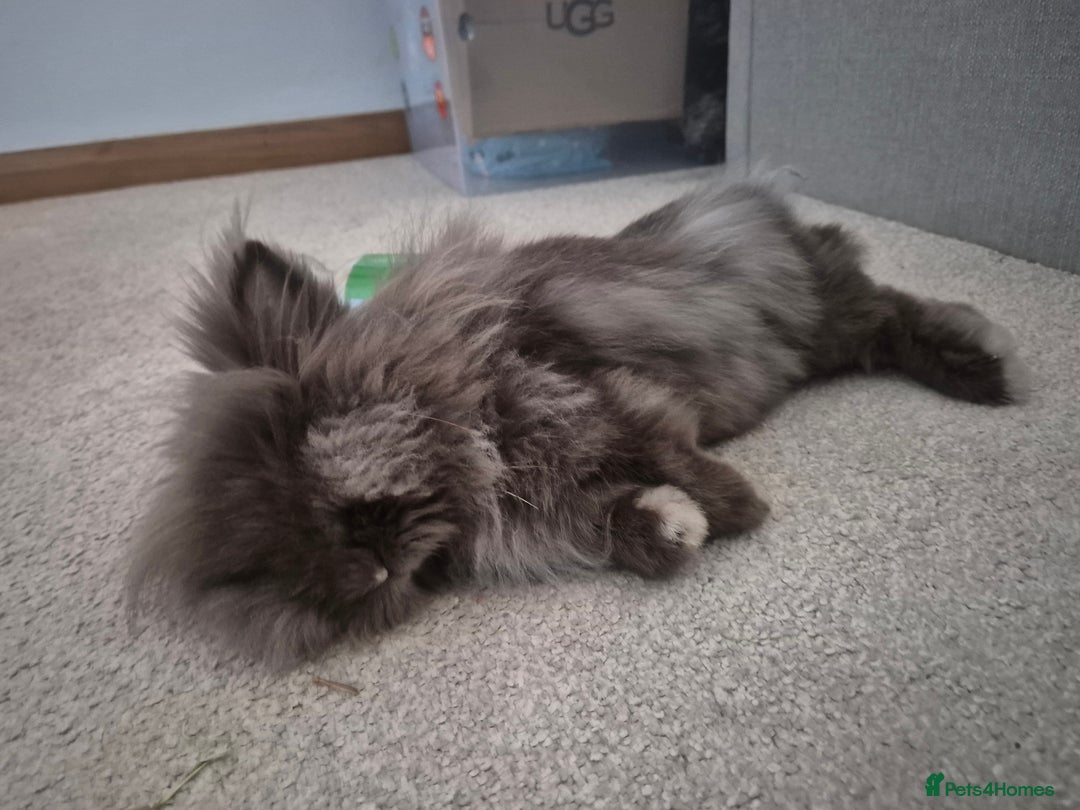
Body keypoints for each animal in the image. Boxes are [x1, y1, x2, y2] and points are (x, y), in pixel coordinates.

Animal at [128, 175, 1029, 668]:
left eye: (335, 500)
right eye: (274, 567)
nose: (365, 577)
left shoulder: (601, 396)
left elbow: (663, 445)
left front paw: (740, 508)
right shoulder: (557, 496)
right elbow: (611, 520)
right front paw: (674, 530)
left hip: (820, 315)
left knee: (892, 310)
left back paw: (988, 368)